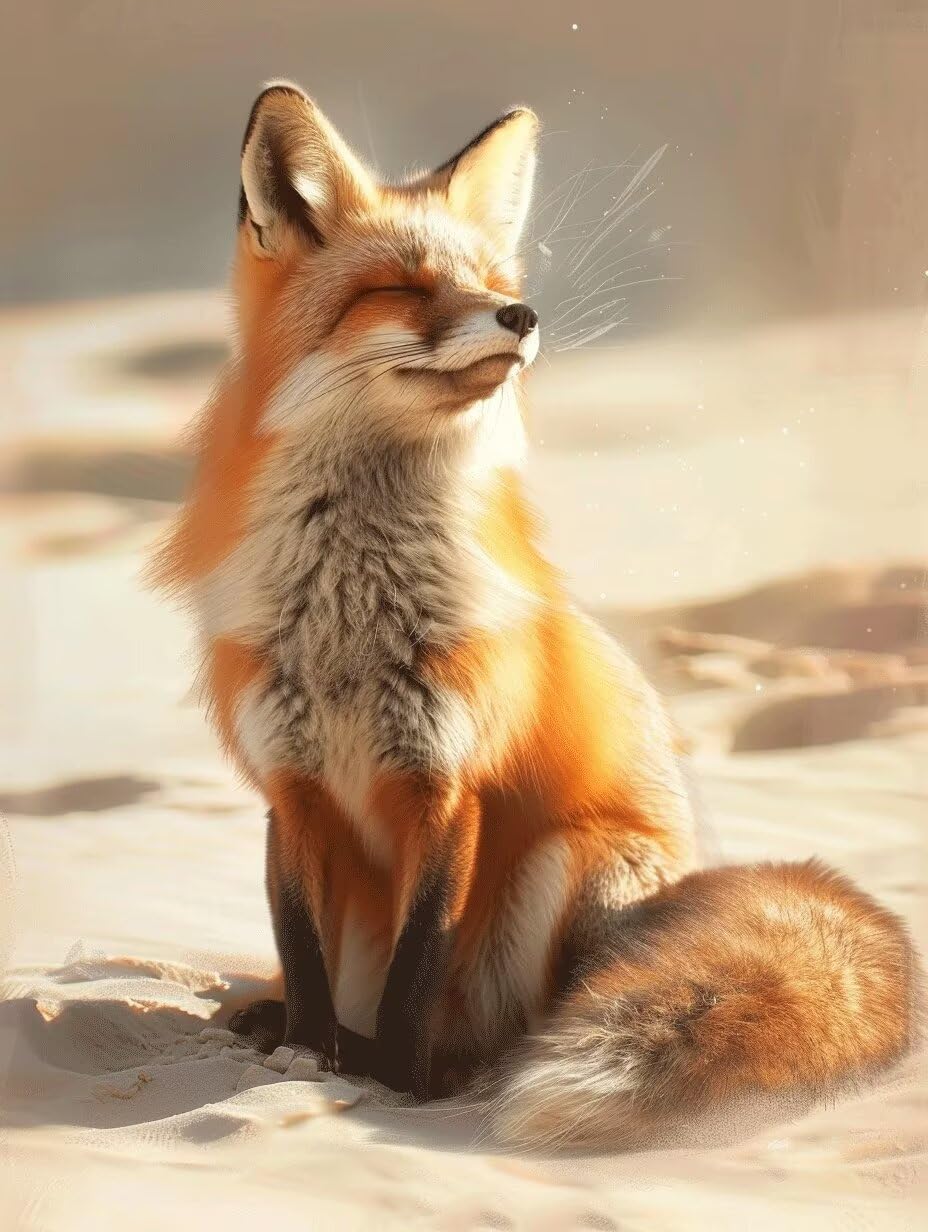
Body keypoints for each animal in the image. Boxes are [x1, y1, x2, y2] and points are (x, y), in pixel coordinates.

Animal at [153, 82, 919, 1150]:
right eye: (405, 287)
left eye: (491, 281)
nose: (522, 314)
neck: (353, 617)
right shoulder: (289, 789)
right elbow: (302, 956)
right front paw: (306, 1053)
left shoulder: (450, 784)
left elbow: (416, 971)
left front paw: (392, 1083)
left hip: (570, 864)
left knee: (529, 1022)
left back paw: (454, 1068)